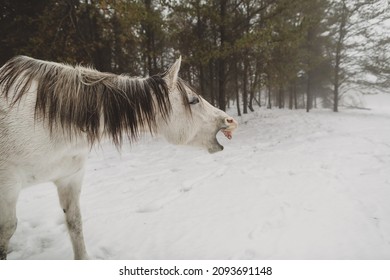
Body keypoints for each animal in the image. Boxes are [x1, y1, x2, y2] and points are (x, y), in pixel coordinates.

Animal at [0, 55, 238, 260]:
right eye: (194, 100)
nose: (229, 120)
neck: (46, 121)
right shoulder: (8, 186)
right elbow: (8, 229)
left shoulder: (70, 179)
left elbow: (75, 223)